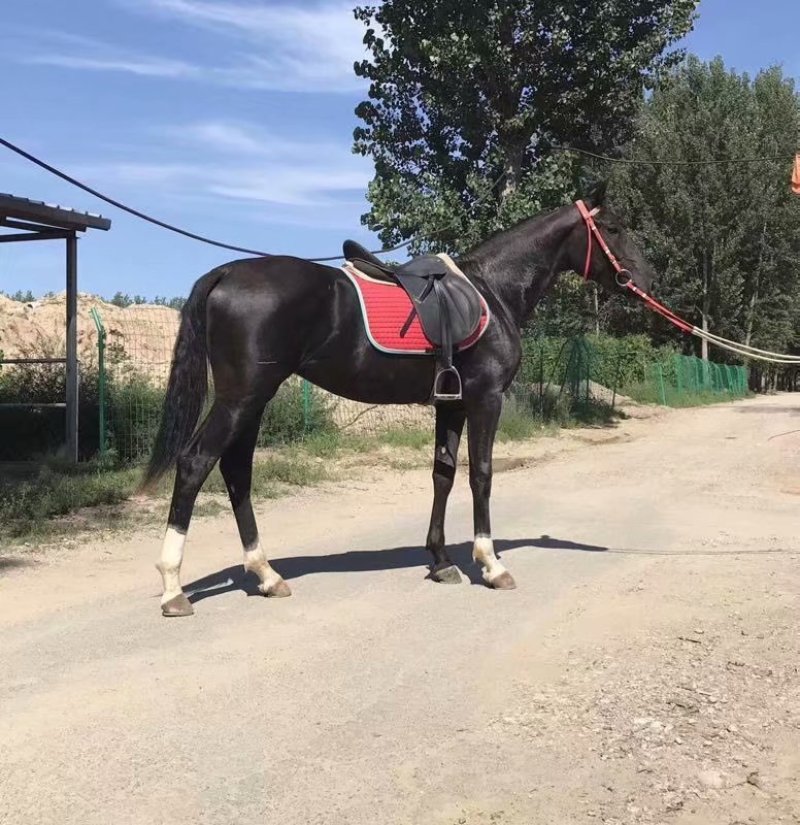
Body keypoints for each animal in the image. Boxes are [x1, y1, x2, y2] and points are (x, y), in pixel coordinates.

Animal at [142, 181, 655, 617]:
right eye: (613, 228)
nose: (646, 279)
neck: (494, 291)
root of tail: (226, 271)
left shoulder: (450, 404)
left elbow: (443, 475)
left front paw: (441, 562)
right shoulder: (485, 399)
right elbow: (482, 475)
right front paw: (491, 565)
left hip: (252, 401)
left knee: (236, 472)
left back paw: (266, 575)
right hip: (241, 398)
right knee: (195, 464)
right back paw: (173, 588)